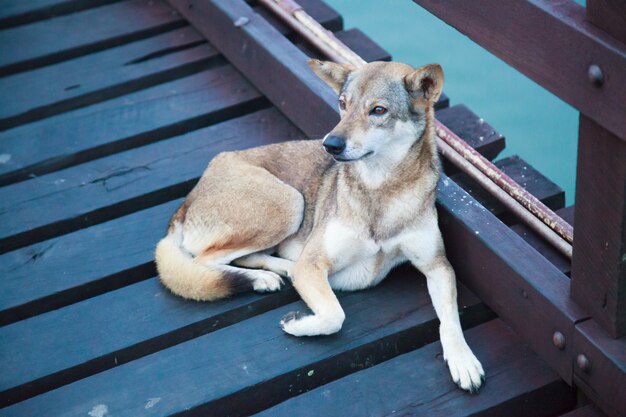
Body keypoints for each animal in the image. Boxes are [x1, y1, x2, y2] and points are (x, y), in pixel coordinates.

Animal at [155, 58, 482, 390]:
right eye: (343, 104)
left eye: (378, 110)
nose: (331, 144)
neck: (380, 186)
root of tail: (189, 198)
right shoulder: (317, 263)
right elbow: (334, 316)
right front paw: (298, 324)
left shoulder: (437, 265)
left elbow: (450, 319)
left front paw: (463, 359)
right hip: (288, 204)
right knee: (203, 262)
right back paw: (263, 277)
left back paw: (269, 276)